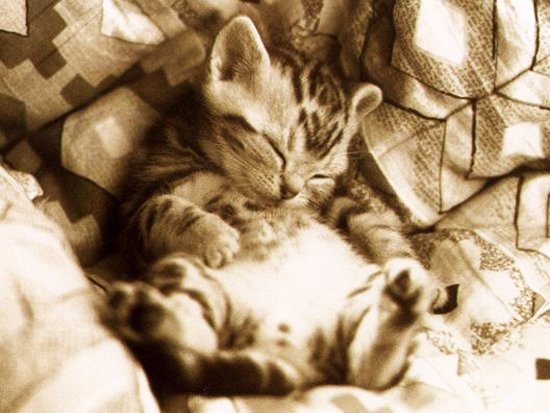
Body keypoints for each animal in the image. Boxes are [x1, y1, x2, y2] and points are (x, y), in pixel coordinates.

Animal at [107, 16, 436, 397]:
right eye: (274, 147)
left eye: (319, 175)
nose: (290, 190)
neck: (218, 165)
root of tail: (299, 352)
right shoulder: (136, 207)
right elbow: (161, 208)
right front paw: (214, 234)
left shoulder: (330, 205)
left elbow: (368, 220)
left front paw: (407, 260)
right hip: (198, 279)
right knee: (194, 344)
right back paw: (149, 316)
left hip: (360, 290)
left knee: (368, 375)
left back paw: (407, 298)